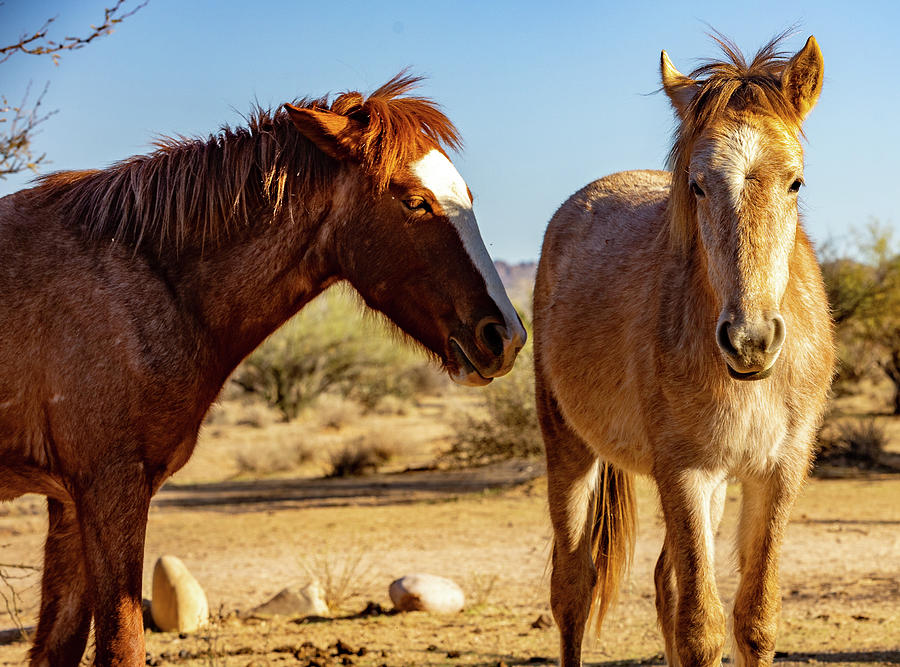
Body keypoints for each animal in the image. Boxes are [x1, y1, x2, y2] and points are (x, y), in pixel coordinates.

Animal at [0, 74, 524, 667]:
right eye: (415, 202)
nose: (506, 336)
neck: (149, 283)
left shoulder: (68, 503)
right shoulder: (110, 492)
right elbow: (123, 647)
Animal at [536, 37, 836, 667]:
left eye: (796, 182)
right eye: (698, 184)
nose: (750, 341)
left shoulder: (779, 473)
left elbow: (755, 619)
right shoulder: (683, 472)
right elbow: (701, 627)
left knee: (663, 583)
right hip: (569, 449)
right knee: (572, 588)